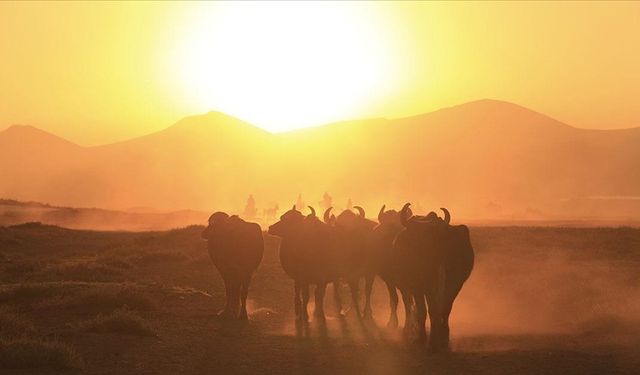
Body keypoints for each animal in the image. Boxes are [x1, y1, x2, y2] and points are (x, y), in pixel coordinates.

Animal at [392, 204, 472, 352]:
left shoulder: (417, 287)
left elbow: (422, 310)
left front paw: (421, 338)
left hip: (426, 285)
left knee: (430, 309)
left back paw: (431, 340)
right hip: (454, 285)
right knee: (445, 308)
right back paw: (443, 339)